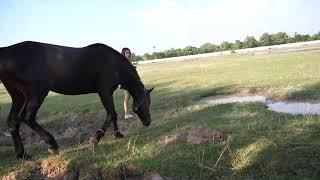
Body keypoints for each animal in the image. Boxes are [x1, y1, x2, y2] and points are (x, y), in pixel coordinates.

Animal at [0, 41, 152, 159]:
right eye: (146, 103)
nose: (148, 122)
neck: (113, 63)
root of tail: (6, 52)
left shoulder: (107, 93)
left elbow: (113, 115)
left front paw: (118, 134)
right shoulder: (104, 92)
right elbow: (111, 114)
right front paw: (95, 139)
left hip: (18, 96)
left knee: (13, 121)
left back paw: (22, 154)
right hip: (37, 94)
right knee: (27, 117)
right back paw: (52, 145)